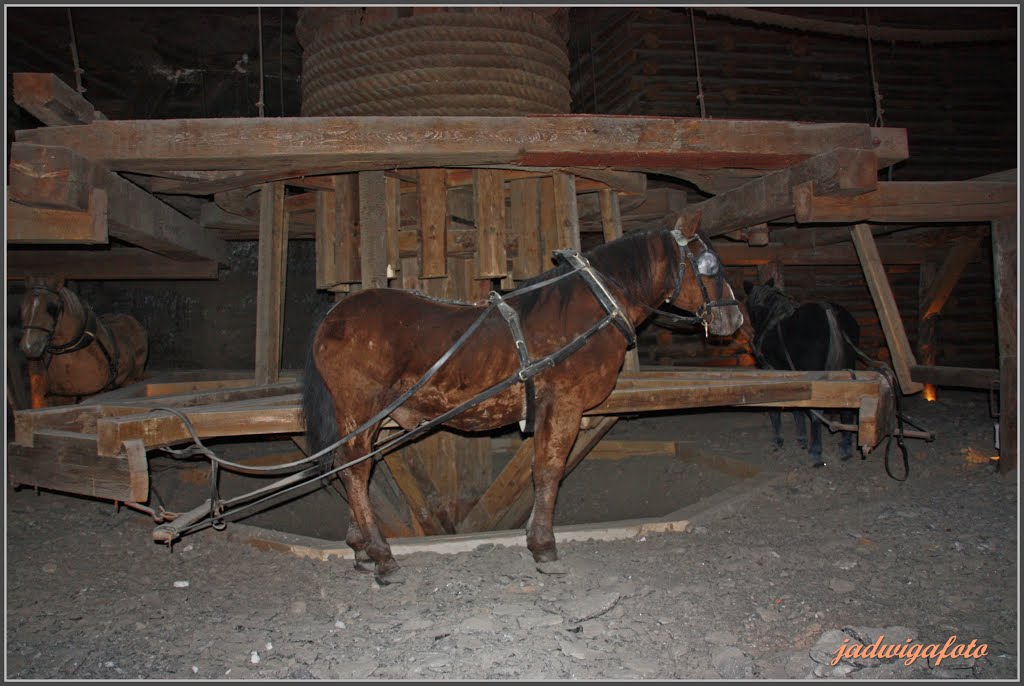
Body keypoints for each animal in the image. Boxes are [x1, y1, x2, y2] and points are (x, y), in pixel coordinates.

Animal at [18, 278, 149, 405]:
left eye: (52, 308)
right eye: (23, 306)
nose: (29, 346)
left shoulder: (92, 393)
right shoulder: (60, 396)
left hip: (133, 376)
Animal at [303, 222, 745, 585]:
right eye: (709, 265)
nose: (735, 319)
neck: (594, 309)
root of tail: (333, 314)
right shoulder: (564, 404)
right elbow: (548, 472)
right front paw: (544, 547)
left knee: (350, 465)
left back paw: (362, 546)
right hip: (361, 408)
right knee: (356, 471)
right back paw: (381, 554)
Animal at [741, 278, 860, 466]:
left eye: (750, 306)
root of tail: (829, 312)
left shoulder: (770, 370)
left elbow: (775, 408)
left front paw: (779, 440)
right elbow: (797, 406)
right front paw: (801, 439)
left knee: (818, 412)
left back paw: (816, 452)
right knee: (847, 410)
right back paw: (845, 448)